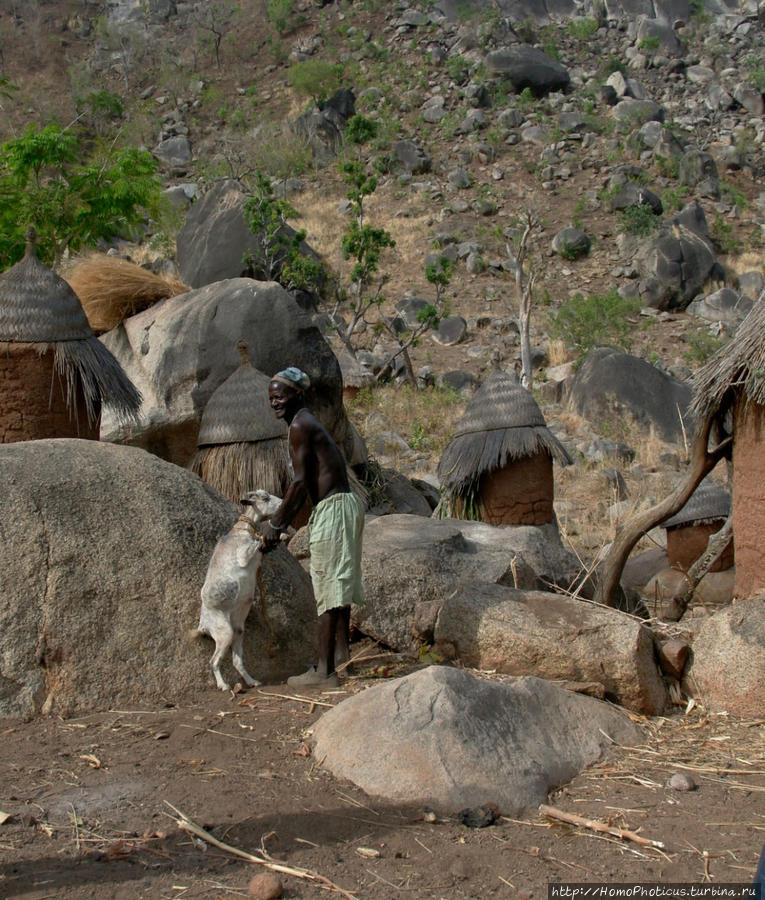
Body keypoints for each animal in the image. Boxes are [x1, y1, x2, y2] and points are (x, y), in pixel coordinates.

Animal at [195, 492, 282, 688]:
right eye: (265, 498)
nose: (282, 503)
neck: (243, 530)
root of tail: (203, 625)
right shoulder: (243, 554)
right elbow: (257, 542)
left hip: (238, 631)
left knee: (236, 661)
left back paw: (252, 682)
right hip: (223, 632)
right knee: (213, 661)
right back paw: (223, 685)